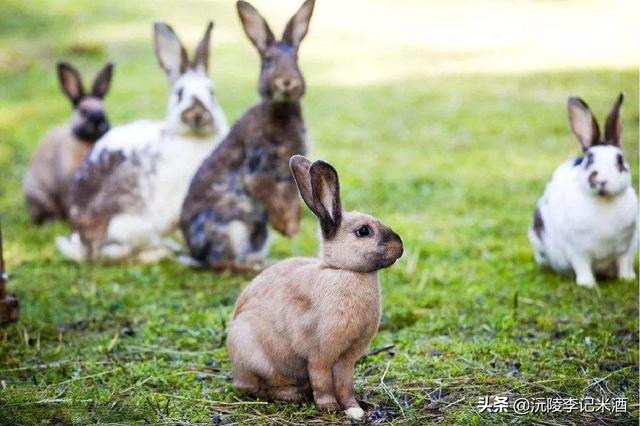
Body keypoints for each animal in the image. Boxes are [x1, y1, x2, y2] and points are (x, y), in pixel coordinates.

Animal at [56, 22, 229, 262]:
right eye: (179, 93)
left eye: (212, 93)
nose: (197, 114)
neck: (194, 139)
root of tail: (81, 245)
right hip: (129, 226)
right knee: (115, 253)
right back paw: (160, 252)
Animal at [228, 156, 402, 420]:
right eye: (363, 231)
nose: (400, 246)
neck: (343, 271)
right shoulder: (320, 355)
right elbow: (322, 381)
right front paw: (329, 407)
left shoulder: (347, 359)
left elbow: (345, 384)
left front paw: (354, 408)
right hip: (254, 355)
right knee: (256, 387)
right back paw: (293, 394)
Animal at [528, 93, 636, 286]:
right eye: (589, 160)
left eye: (620, 160)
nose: (601, 180)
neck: (604, 201)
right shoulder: (577, 250)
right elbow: (582, 266)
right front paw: (588, 284)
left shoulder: (627, 249)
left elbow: (624, 263)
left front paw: (627, 279)